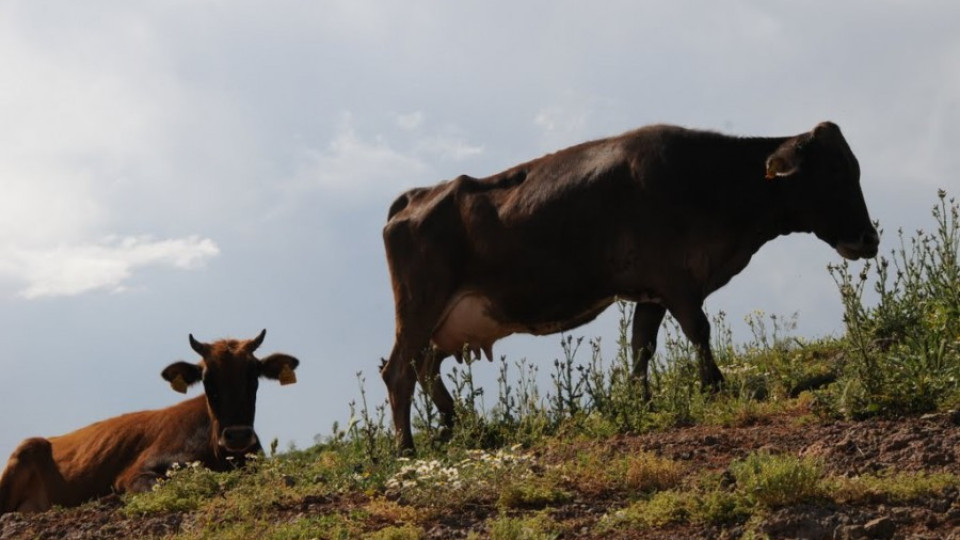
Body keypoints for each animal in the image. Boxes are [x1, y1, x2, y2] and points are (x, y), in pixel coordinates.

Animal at [380, 121, 876, 452]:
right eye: (833, 174)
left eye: (855, 169)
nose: (869, 238)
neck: (707, 180)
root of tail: (416, 195)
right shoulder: (677, 280)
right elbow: (699, 330)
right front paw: (714, 386)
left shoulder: (653, 292)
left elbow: (642, 346)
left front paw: (641, 402)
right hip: (420, 307)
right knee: (398, 371)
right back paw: (407, 447)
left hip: (445, 323)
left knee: (426, 368)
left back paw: (457, 426)